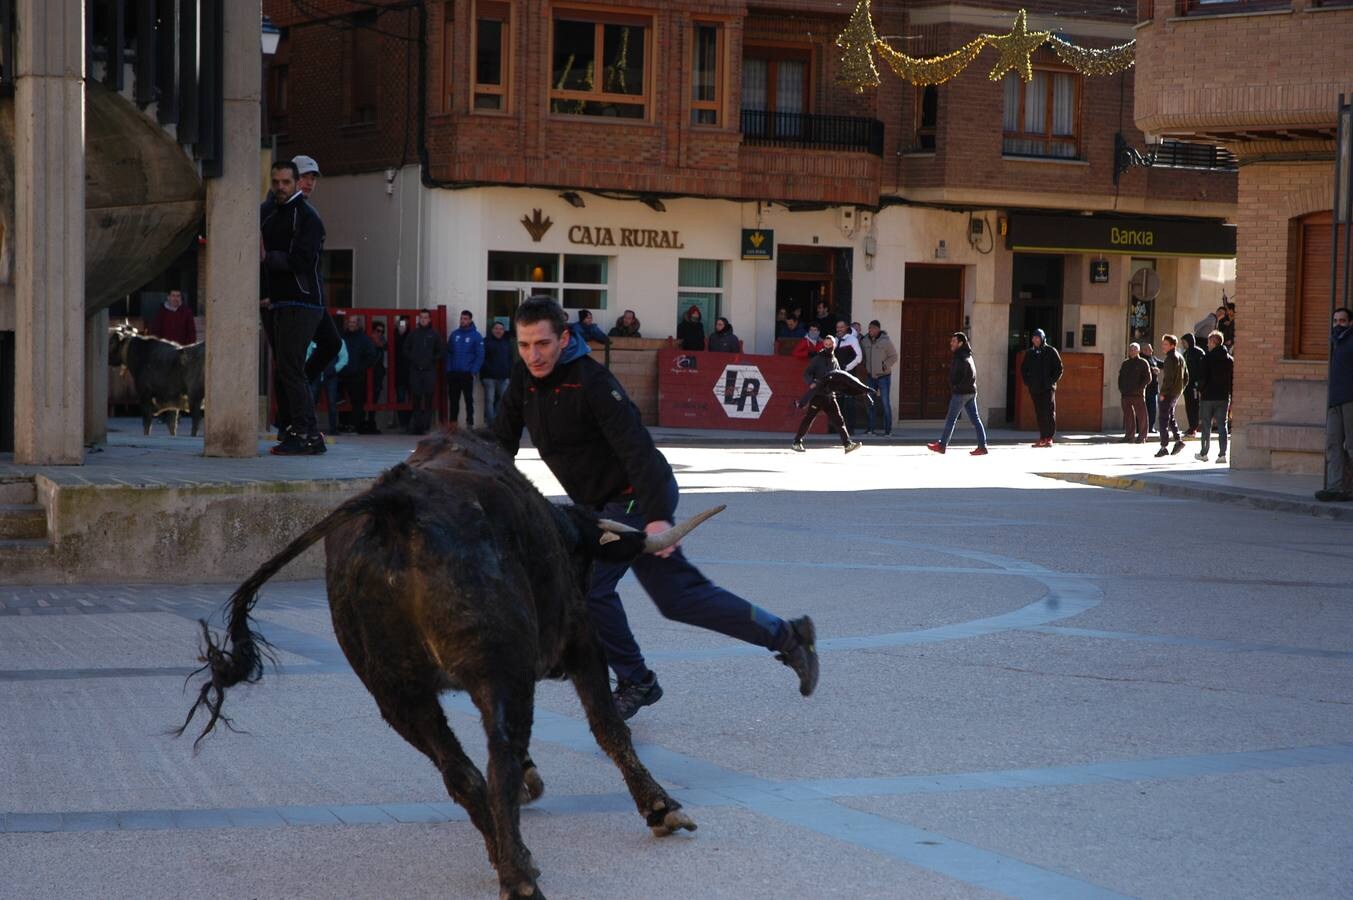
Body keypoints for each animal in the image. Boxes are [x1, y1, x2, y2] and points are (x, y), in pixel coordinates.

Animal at [185, 427, 725, 898]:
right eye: (583, 563)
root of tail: (396, 507)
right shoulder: (580, 641)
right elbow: (608, 727)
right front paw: (661, 808)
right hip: (500, 671)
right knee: (499, 756)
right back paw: (519, 875)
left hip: (397, 694)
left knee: (460, 773)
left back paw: (512, 857)